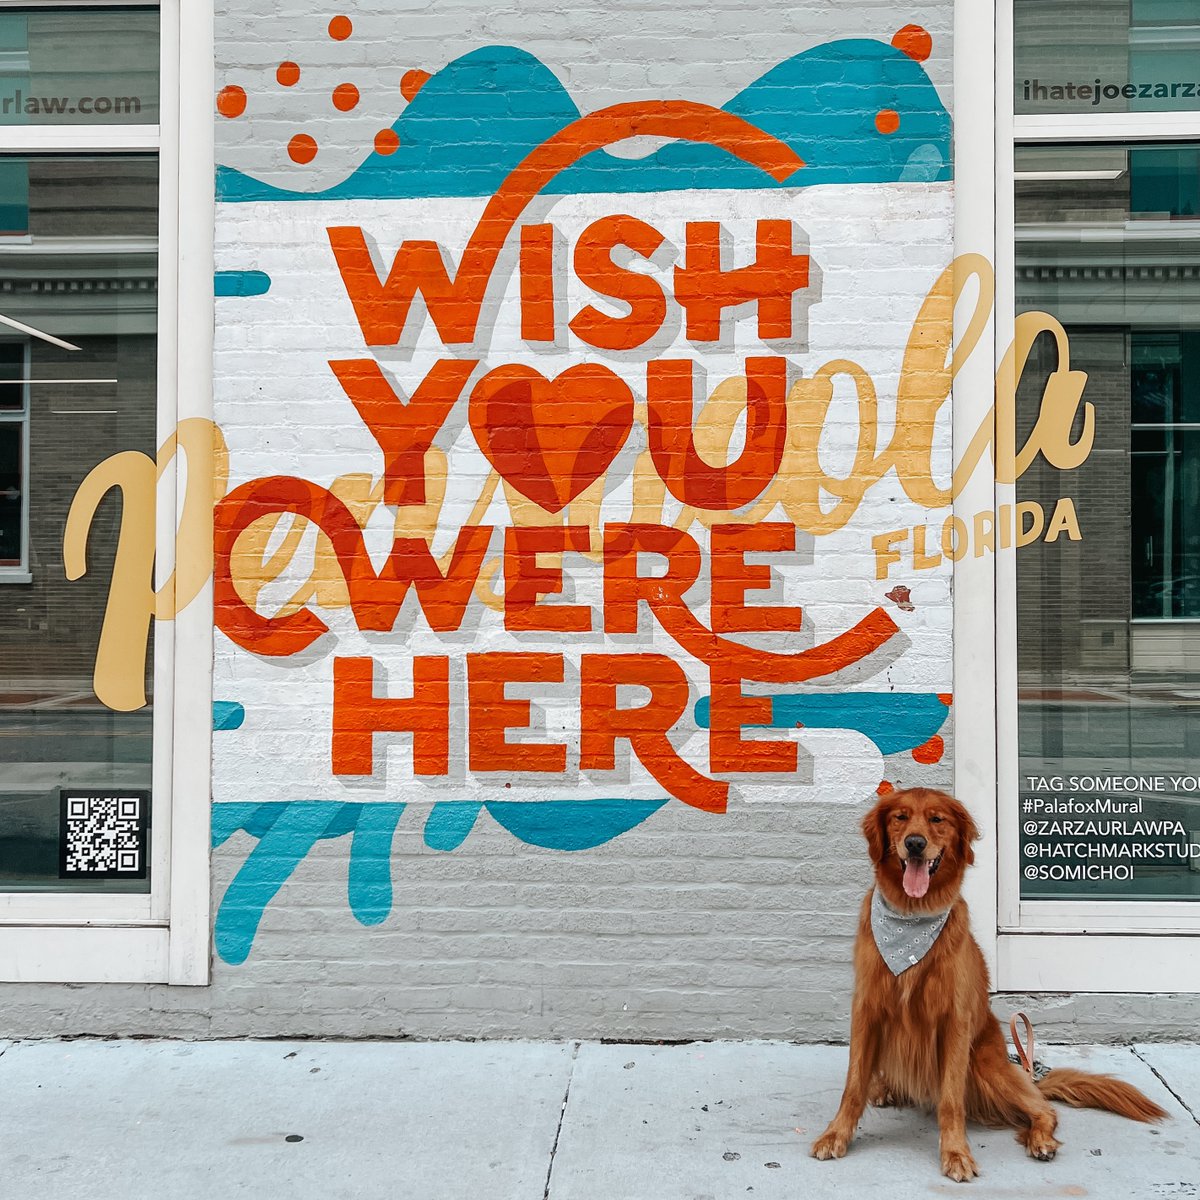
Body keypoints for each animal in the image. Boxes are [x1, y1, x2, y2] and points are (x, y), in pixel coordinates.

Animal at [811, 787, 1166, 1180]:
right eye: (900, 817)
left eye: (937, 819)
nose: (915, 844)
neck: (911, 920)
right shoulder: (867, 1008)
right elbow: (853, 1084)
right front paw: (836, 1133)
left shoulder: (954, 1022)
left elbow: (951, 1100)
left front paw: (955, 1153)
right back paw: (885, 1087)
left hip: (986, 1065)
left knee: (1043, 1108)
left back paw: (1041, 1139)